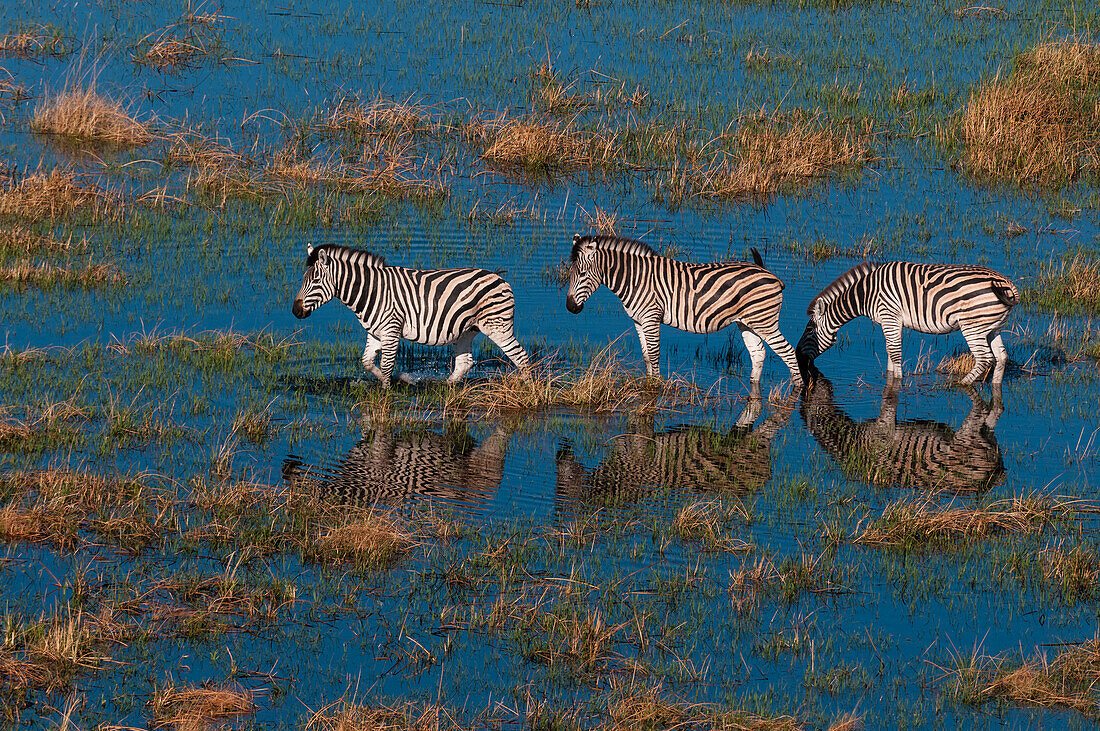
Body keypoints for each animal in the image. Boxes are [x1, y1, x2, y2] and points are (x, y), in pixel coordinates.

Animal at [292, 241, 532, 386]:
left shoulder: (391, 330)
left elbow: (386, 365)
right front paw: (396, 380)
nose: (295, 311)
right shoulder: (375, 333)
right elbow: (367, 362)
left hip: (498, 326)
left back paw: (529, 389)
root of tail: (499, 277)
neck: (372, 291)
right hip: (466, 330)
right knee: (465, 362)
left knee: (521, 357)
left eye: (315, 281)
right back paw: (445, 388)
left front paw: (386, 393)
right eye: (302, 280)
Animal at [563, 234, 805, 384]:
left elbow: (654, 354)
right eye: (570, 273)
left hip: (765, 322)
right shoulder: (638, 321)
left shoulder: (651, 317)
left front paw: (656, 386)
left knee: (787, 352)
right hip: (747, 323)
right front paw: (649, 382)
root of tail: (772, 275)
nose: (571, 308)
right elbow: (646, 356)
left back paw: (799, 389)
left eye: (582, 274)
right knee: (758, 353)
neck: (635, 278)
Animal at [796, 259, 1016, 384]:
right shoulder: (890, 321)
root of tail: (1006, 283)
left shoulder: (889, 316)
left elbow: (894, 352)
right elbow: (889, 351)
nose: (798, 357)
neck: (866, 294)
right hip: (992, 327)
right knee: (1001, 357)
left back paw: (960, 385)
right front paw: (890, 377)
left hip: (972, 326)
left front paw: (898, 382)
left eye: (809, 331)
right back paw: (995, 388)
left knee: (985, 358)